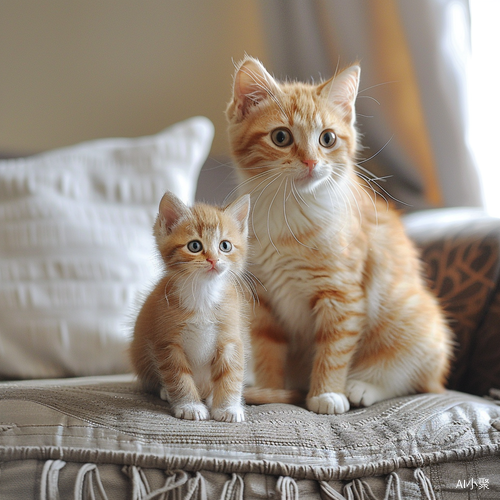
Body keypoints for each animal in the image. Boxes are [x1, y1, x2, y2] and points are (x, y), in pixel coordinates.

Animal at [227, 55, 454, 414]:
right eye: (281, 137)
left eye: (327, 139)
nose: (310, 162)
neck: (287, 213)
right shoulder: (263, 300)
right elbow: (267, 350)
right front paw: (270, 391)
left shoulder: (342, 294)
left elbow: (334, 349)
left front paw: (326, 393)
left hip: (415, 318)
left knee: (413, 378)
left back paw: (362, 387)